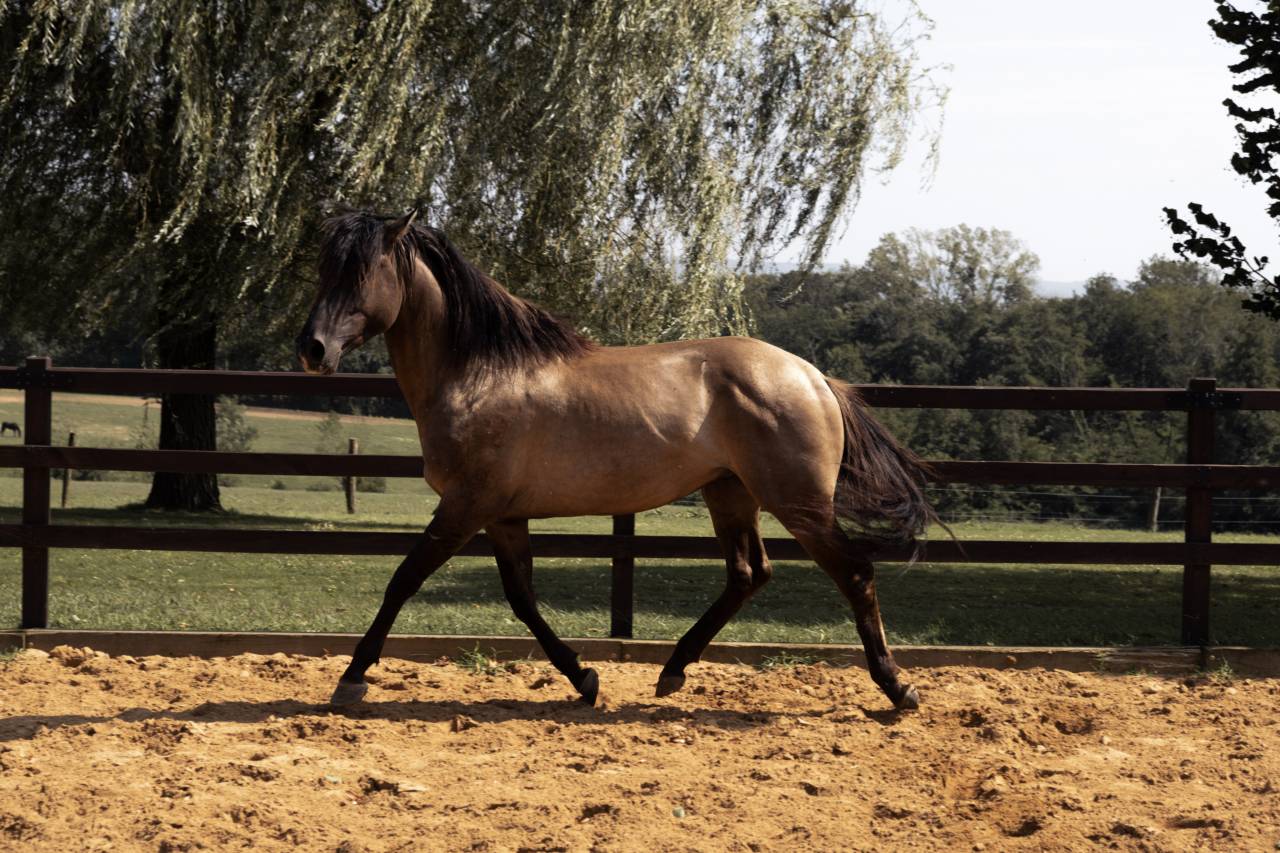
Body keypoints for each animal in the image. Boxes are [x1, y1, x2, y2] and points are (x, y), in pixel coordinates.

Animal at [297, 210, 938, 711]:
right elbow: (522, 599)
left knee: (854, 573)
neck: (480, 376)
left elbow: (403, 581)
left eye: (363, 272)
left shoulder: (463, 508)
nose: (312, 349)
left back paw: (896, 688)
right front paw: (584, 678)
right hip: (730, 492)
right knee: (749, 573)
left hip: (798, 502)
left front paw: (351, 680)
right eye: (325, 269)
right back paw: (673, 670)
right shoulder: (502, 516)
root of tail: (814, 376)